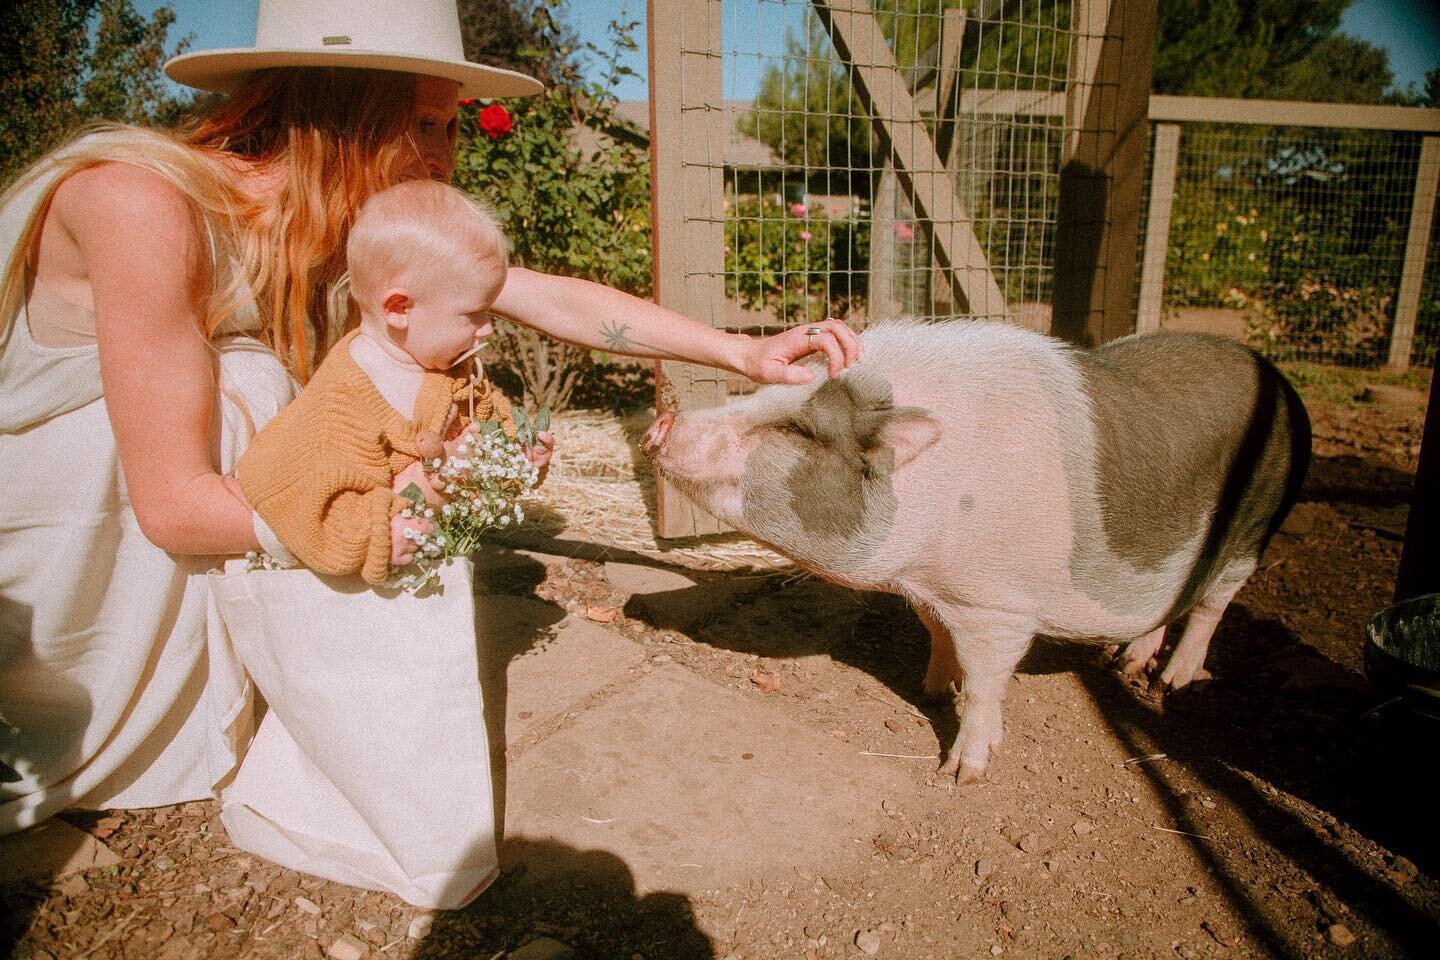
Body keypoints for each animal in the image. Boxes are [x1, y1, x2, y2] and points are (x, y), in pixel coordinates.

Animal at [648, 319, 1313, 782]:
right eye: (754, 393)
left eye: (799, 431)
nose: (663, 423)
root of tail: (1284, 383)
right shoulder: (933, 588)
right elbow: (936, 633)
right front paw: (929, 689)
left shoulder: (1000, 603)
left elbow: (987, 678)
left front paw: (961, 772)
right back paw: (1127, 666)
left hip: (1253, 530)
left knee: (1213, 604)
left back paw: (1172, 684)